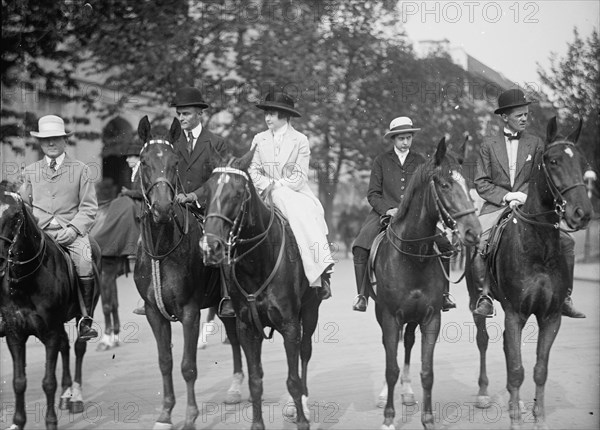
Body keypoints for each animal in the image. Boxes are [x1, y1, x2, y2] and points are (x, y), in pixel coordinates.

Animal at [0, 182, 101, 430]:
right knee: (66, 345)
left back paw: (75, 397)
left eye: (15, 216)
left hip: (84, 312)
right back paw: (66, 395)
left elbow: (48, 382)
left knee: (78, 347)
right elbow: (19, 381)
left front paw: (51, 422)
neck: (27, 280)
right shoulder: (15, 334)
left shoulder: (50, 333)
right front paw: (18, 422)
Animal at [135, 115, 245, 430]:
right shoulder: (154, 313)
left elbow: (188, 366)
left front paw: (191, 416)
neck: (164, 248)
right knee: (235, 340)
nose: (161, 208)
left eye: (174, 163)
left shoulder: (190, 311)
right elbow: (165, 362)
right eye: (144, 162)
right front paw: (164, 414)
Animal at [202, 149, 324, 428]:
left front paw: (302, 419)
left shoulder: (290, 325)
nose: (210, 246)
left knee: (304, 354)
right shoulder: (247, 328)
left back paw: (301, 404)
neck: (258, 263)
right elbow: (255, 380)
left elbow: (293, 379)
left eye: (238, 193)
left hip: (310, 312)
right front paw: (257, 423)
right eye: (207, 191)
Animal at [376, 139, 482, 430]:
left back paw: (407, 392)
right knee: (391, 347)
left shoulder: (431, 318)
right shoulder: (390, 317)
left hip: (413, 319)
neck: (414, 255)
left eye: (469, 185)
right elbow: (390, 368)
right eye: (445, 185)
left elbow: (427, 371)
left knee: (408, 342)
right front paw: (388, 418)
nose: (474, 232)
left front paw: (428, 419)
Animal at [464, 116, 592, 428]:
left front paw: (539, 418)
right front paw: (514, 421)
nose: (582, 214)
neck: (539, 245)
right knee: (484, 341)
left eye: (582, 161)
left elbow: (538, 369)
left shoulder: (550, 316)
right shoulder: (515, 313)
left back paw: (518, 403)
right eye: (554, 161)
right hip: (476, 302)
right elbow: (516, 370)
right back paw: (484, 394)